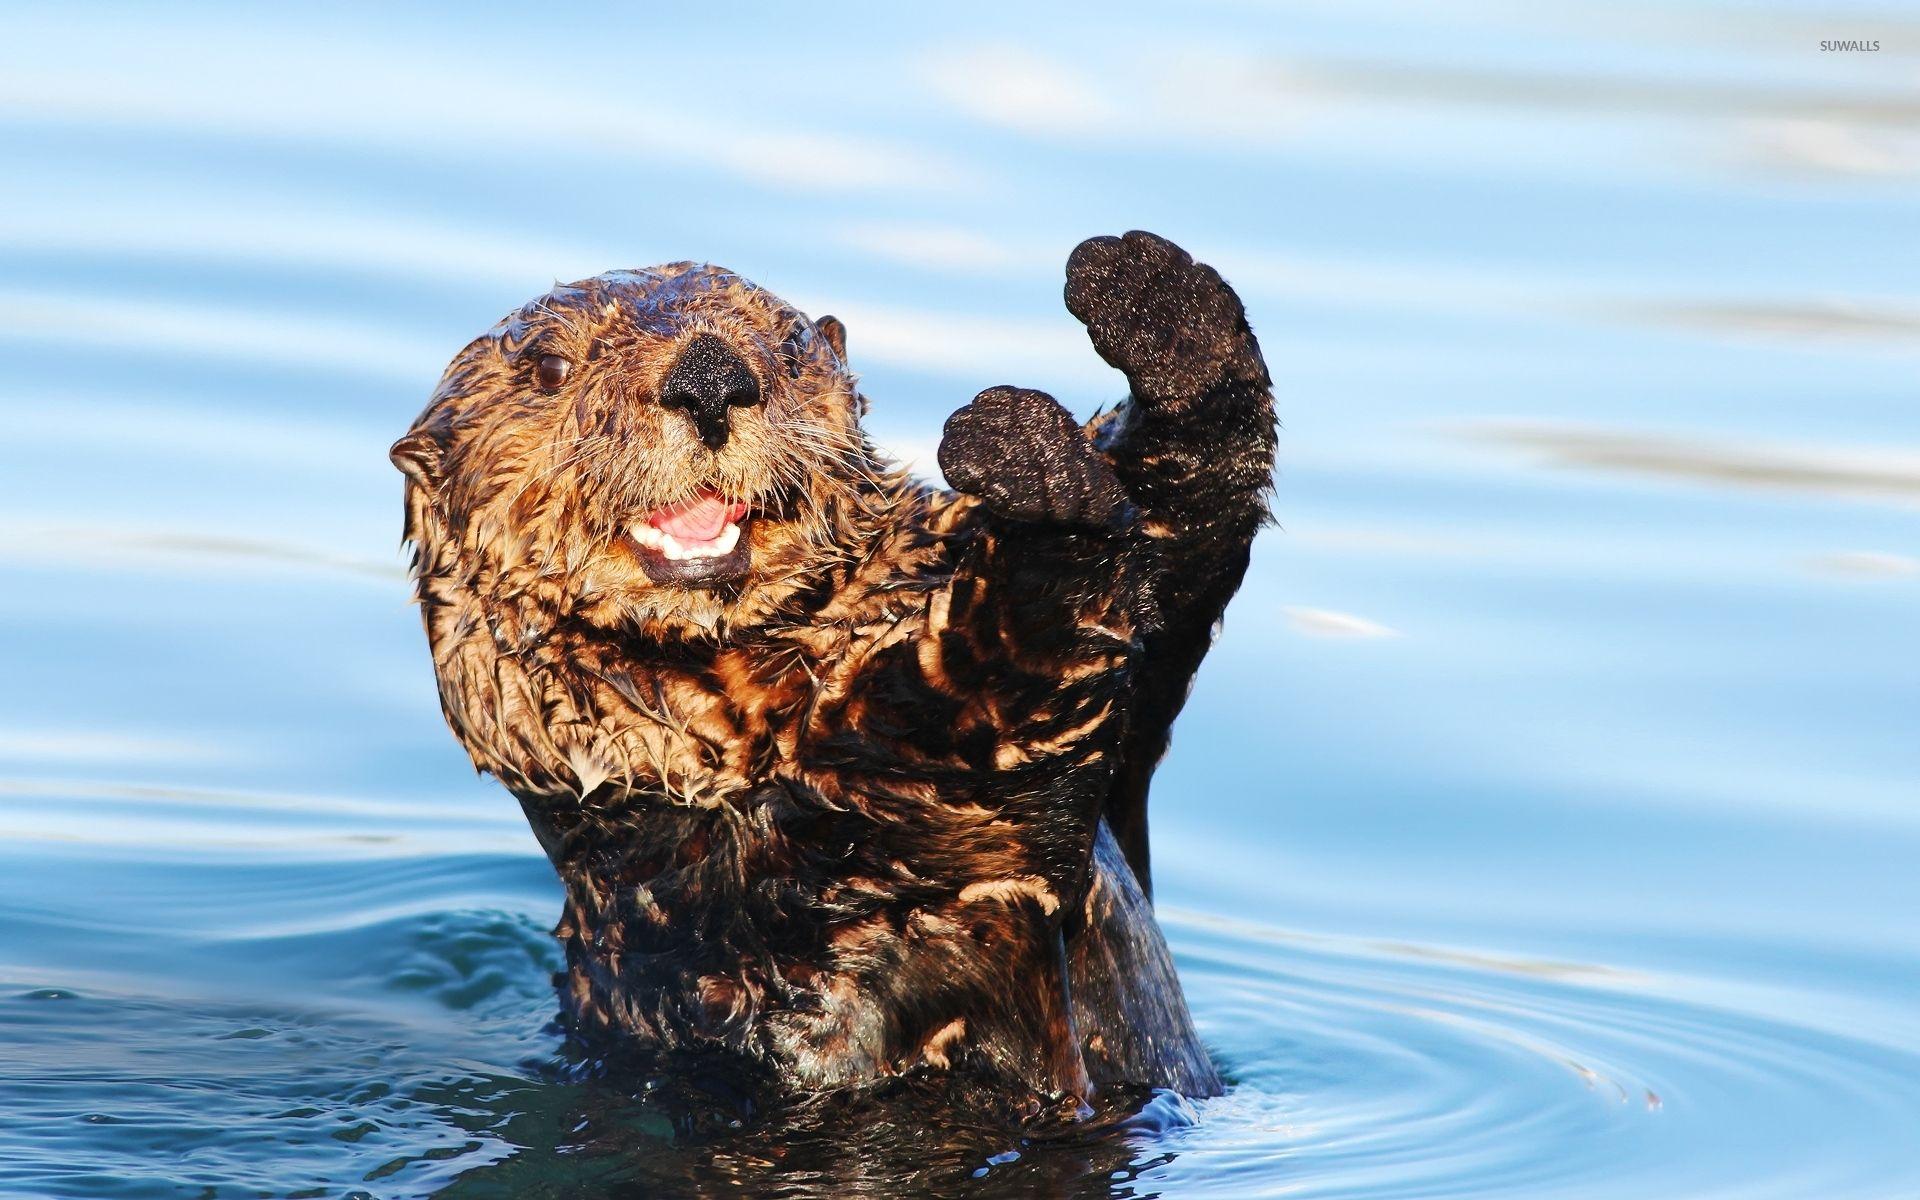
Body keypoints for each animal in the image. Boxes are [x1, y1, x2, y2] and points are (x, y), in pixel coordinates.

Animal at [391, 231, 1275, 1108]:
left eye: (786, 346)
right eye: (548, 368)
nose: (709, 378)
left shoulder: (1129, 742)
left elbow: (1178, 553)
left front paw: (1155, 305)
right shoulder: (855, 854)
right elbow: (986, 700)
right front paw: (1034, 472)